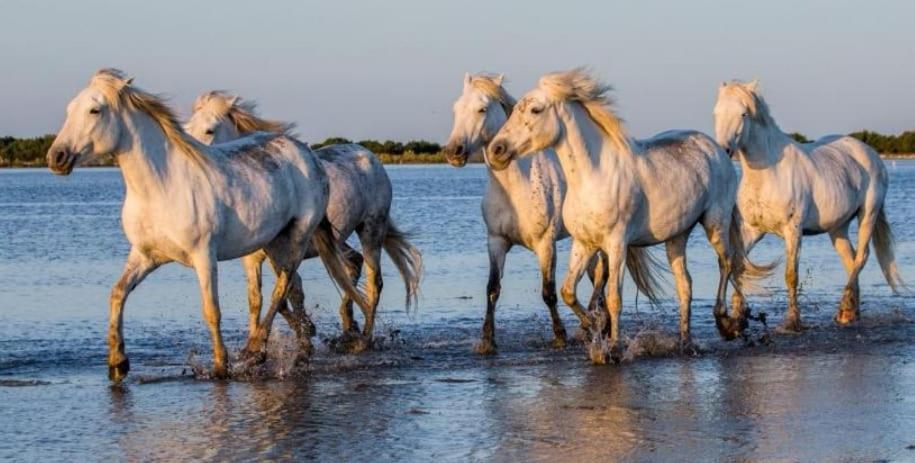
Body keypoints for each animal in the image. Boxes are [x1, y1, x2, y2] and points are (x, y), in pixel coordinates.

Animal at [46, 70, 366, 380]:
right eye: (70, 109)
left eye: (95, 110)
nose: (56, 157)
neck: (160, 187)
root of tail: (307, 154)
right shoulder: (145, 255)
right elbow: (117, 293)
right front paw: (118, 363)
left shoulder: (204, 256)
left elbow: (212, 310)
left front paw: (220, 366)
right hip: (275, 241)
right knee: (289, 288)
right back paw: (294, 351)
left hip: (298, 235)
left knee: (284, 284)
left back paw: (257, 349)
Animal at [190, 91, 426, 352]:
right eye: (187, 126)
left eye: (209, 130)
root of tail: (370, 156)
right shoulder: (252, 259)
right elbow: (259, 300)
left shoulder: (284, 252)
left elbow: (288, 294)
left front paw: (303, 334)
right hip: (336, 239)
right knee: (353, 264)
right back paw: (348, 327)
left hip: (372, 229)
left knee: (374, 282)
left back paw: (363, 340)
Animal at [444, 73, 664, 356]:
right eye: (456, 109)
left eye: (481, 109)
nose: (454, 152)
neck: (515, 186)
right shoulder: (496, 241)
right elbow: (492, 289)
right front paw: (487, 341)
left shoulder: (545, 244)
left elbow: (548, 292)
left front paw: (561, 336)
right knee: (596, 276)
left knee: (602, 276)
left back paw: (595, 323)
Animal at [490, 70, 768, 366]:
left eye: (535, 109)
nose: (496, 150)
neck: (592, 177)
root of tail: (717, 148)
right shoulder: (584, 244)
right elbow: (568, 291)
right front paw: (595, 327)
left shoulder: (616, 244)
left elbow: (614, 298)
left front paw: (612, 348)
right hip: (676, 237)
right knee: (685, 285)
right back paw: (686, 342)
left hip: (715, 222)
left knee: (726, 264)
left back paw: (727, 325)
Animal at [716, 81, 900, 332]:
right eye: (716, 112)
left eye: (743, 114)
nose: (724, 151)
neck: (769, 172)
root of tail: (870, 153)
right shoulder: (753, 230)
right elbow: (738, 265)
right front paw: (737, 317)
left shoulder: (793, 230)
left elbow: (791, 275)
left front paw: (792, 322)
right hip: (838, 227)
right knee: (850, 260)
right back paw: (851, 312)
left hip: (868, 214)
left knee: (861, 256)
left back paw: (845, 309)